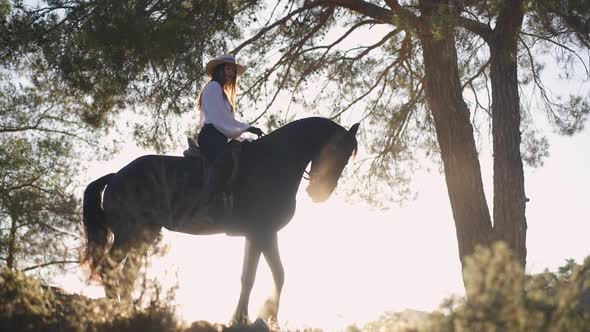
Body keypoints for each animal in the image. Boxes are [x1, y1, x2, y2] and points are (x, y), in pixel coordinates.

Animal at [81, 116, 360, 324]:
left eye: (348, 155)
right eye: (336, 149)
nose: (320, 193)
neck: (273, 163)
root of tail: (116, 176)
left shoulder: (265, 234)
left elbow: (276, 274)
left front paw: (270, 318)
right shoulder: (259, 233)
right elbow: (250, 278)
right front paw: (240, 319)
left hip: (144, 235)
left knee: (128, 273)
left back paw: (128, 311)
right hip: (129, 233)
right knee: (109, 267)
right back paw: (112, 310)